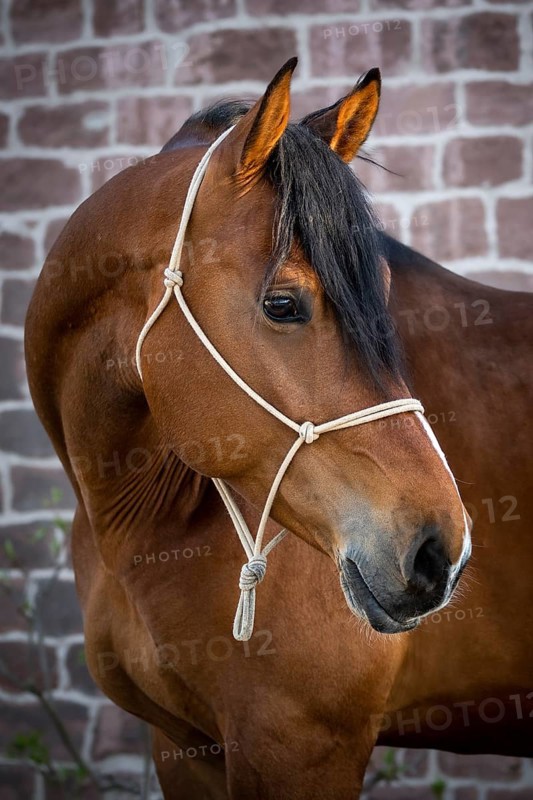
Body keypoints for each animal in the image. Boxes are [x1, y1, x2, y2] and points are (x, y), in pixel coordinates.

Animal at [25, 58, 532, 799]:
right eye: (283, 304)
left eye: (383, 291)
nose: (441, 550)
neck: (140, 519)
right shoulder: (183, 747)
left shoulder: (298, 745)